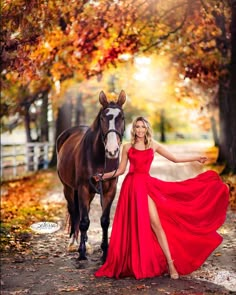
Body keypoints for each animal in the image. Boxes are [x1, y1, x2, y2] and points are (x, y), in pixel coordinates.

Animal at [56, 90, 126, 262]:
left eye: (122, 117)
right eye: (102, 118)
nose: (112, 151)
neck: (99, 157)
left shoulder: (109, 190)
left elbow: (105, 221)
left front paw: (105, 252)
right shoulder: (83, 189)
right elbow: (83, 221)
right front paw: (81, 253)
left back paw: (86, 242)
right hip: (69, 189)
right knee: (74, 211)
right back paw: (73, 242)